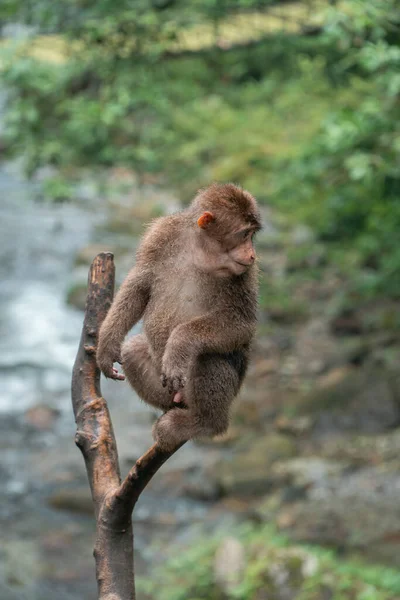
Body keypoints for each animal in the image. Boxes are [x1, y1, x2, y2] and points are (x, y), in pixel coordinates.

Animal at [95, 183, 260, 450]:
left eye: (251, 235)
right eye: (245, 234)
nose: (252, 254)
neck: (202, 251)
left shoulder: (245, 272)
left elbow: (242, 324)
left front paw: (180, 343)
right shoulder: (161, 234)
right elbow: (140, 285)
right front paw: (107, 344)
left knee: (207, 357)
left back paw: (205, 423)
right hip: (168, 387)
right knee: (133, 351)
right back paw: (171, 411)